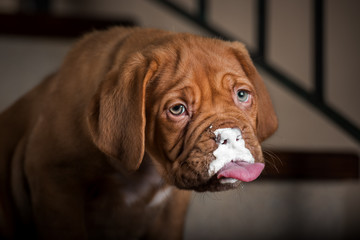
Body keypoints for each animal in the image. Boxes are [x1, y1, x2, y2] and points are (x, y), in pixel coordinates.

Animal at [0, 27, 278, 239]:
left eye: (242, 95)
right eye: (177, 109)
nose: (229, 135)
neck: (148, 165)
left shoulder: (172, 211)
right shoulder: (55, 182)